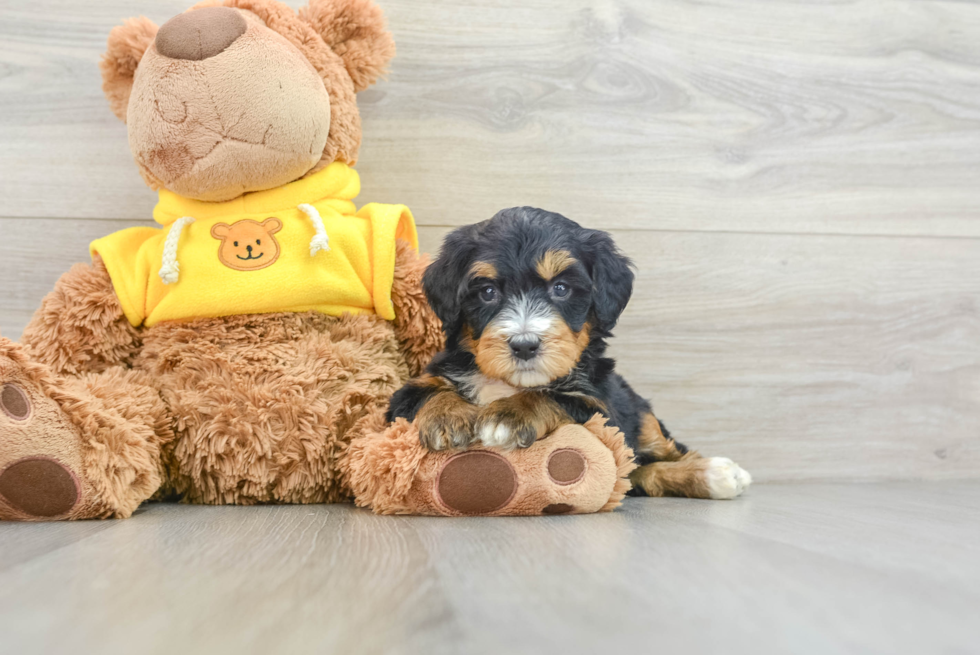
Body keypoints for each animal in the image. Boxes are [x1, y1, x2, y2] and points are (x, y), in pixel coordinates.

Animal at [386, 208, 756, 500]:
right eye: (488, 292)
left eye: (561, 289)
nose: (524, 344)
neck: (511, 383)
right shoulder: (404, 397)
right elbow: (430, 393)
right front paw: (448, 418)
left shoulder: (601, 411)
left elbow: (552, 396)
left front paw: (509, 416)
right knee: (640, 473)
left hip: (640, 414)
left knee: (667, 453)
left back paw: (719, 473)